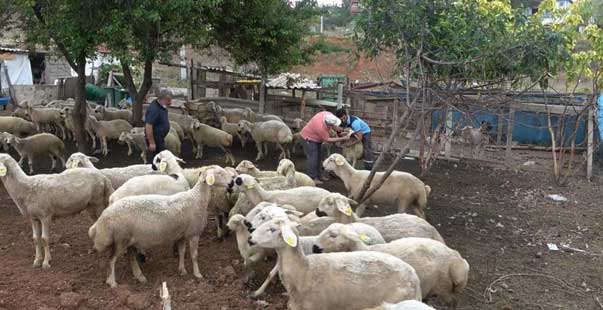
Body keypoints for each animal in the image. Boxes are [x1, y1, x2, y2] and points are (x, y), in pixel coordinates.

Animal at [89, 166, 236, 286]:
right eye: (219, 173)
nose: (231, 183)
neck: (197, 198)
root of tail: (104, 217)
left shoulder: (182, 234)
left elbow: (182, 252)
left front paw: (182, 270)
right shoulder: (194, 233)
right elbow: (194, 255)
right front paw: (197, 274)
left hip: (127, 240)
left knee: (130, 257)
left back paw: (139, 276)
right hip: (120, 239)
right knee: (112, 260)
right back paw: (112, 282)